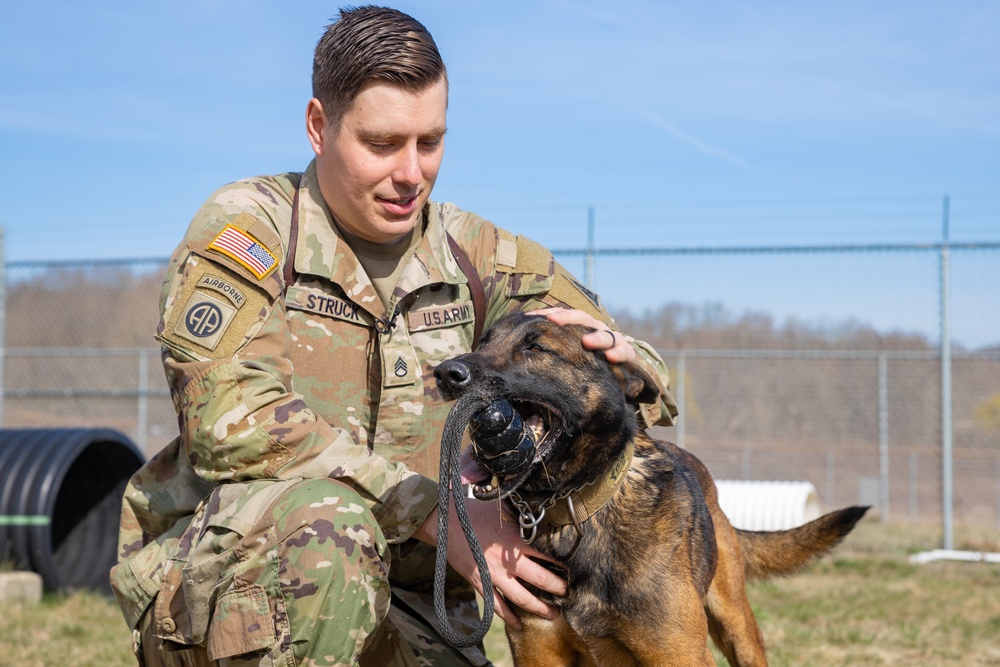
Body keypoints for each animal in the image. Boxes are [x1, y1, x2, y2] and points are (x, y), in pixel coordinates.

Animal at [436, 314, 868, 667]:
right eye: (483, 343)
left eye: (536, 348)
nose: (444, 373)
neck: (578, 509)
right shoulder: (538, 652)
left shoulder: (680, 654)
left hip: (737, 625)